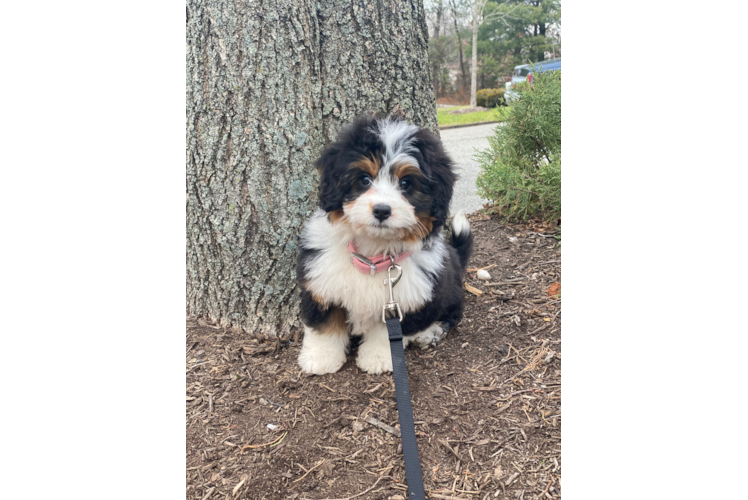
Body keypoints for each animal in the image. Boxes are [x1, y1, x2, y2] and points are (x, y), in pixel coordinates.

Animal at [296, 115, 474, 376]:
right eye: (364, 179)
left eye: (406, 183)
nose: (381, 210)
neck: (372, 256)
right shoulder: (321, 282)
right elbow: (324, 322)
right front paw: (321, 357)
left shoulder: (407, 298)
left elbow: (386, 333)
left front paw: (378, 358)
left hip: (446, 291)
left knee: (450, 315)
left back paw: (429, 332)